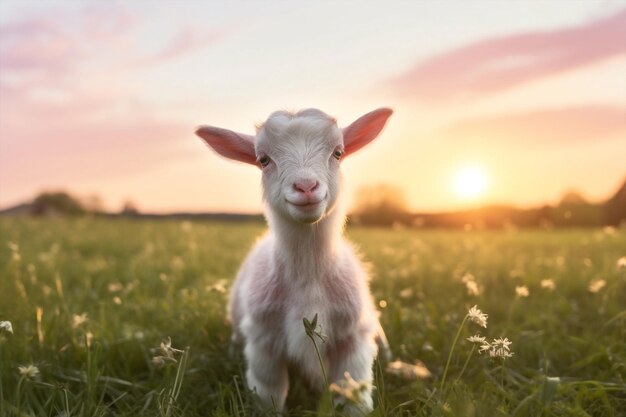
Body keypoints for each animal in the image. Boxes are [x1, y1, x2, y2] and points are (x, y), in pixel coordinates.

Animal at [195, 107, 390, 412]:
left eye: (338, 152)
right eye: (263, 160)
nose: (306, 186)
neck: (308, 278)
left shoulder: (353, 340)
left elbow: (353, 395)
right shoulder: (263, 342)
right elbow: (269, 393)